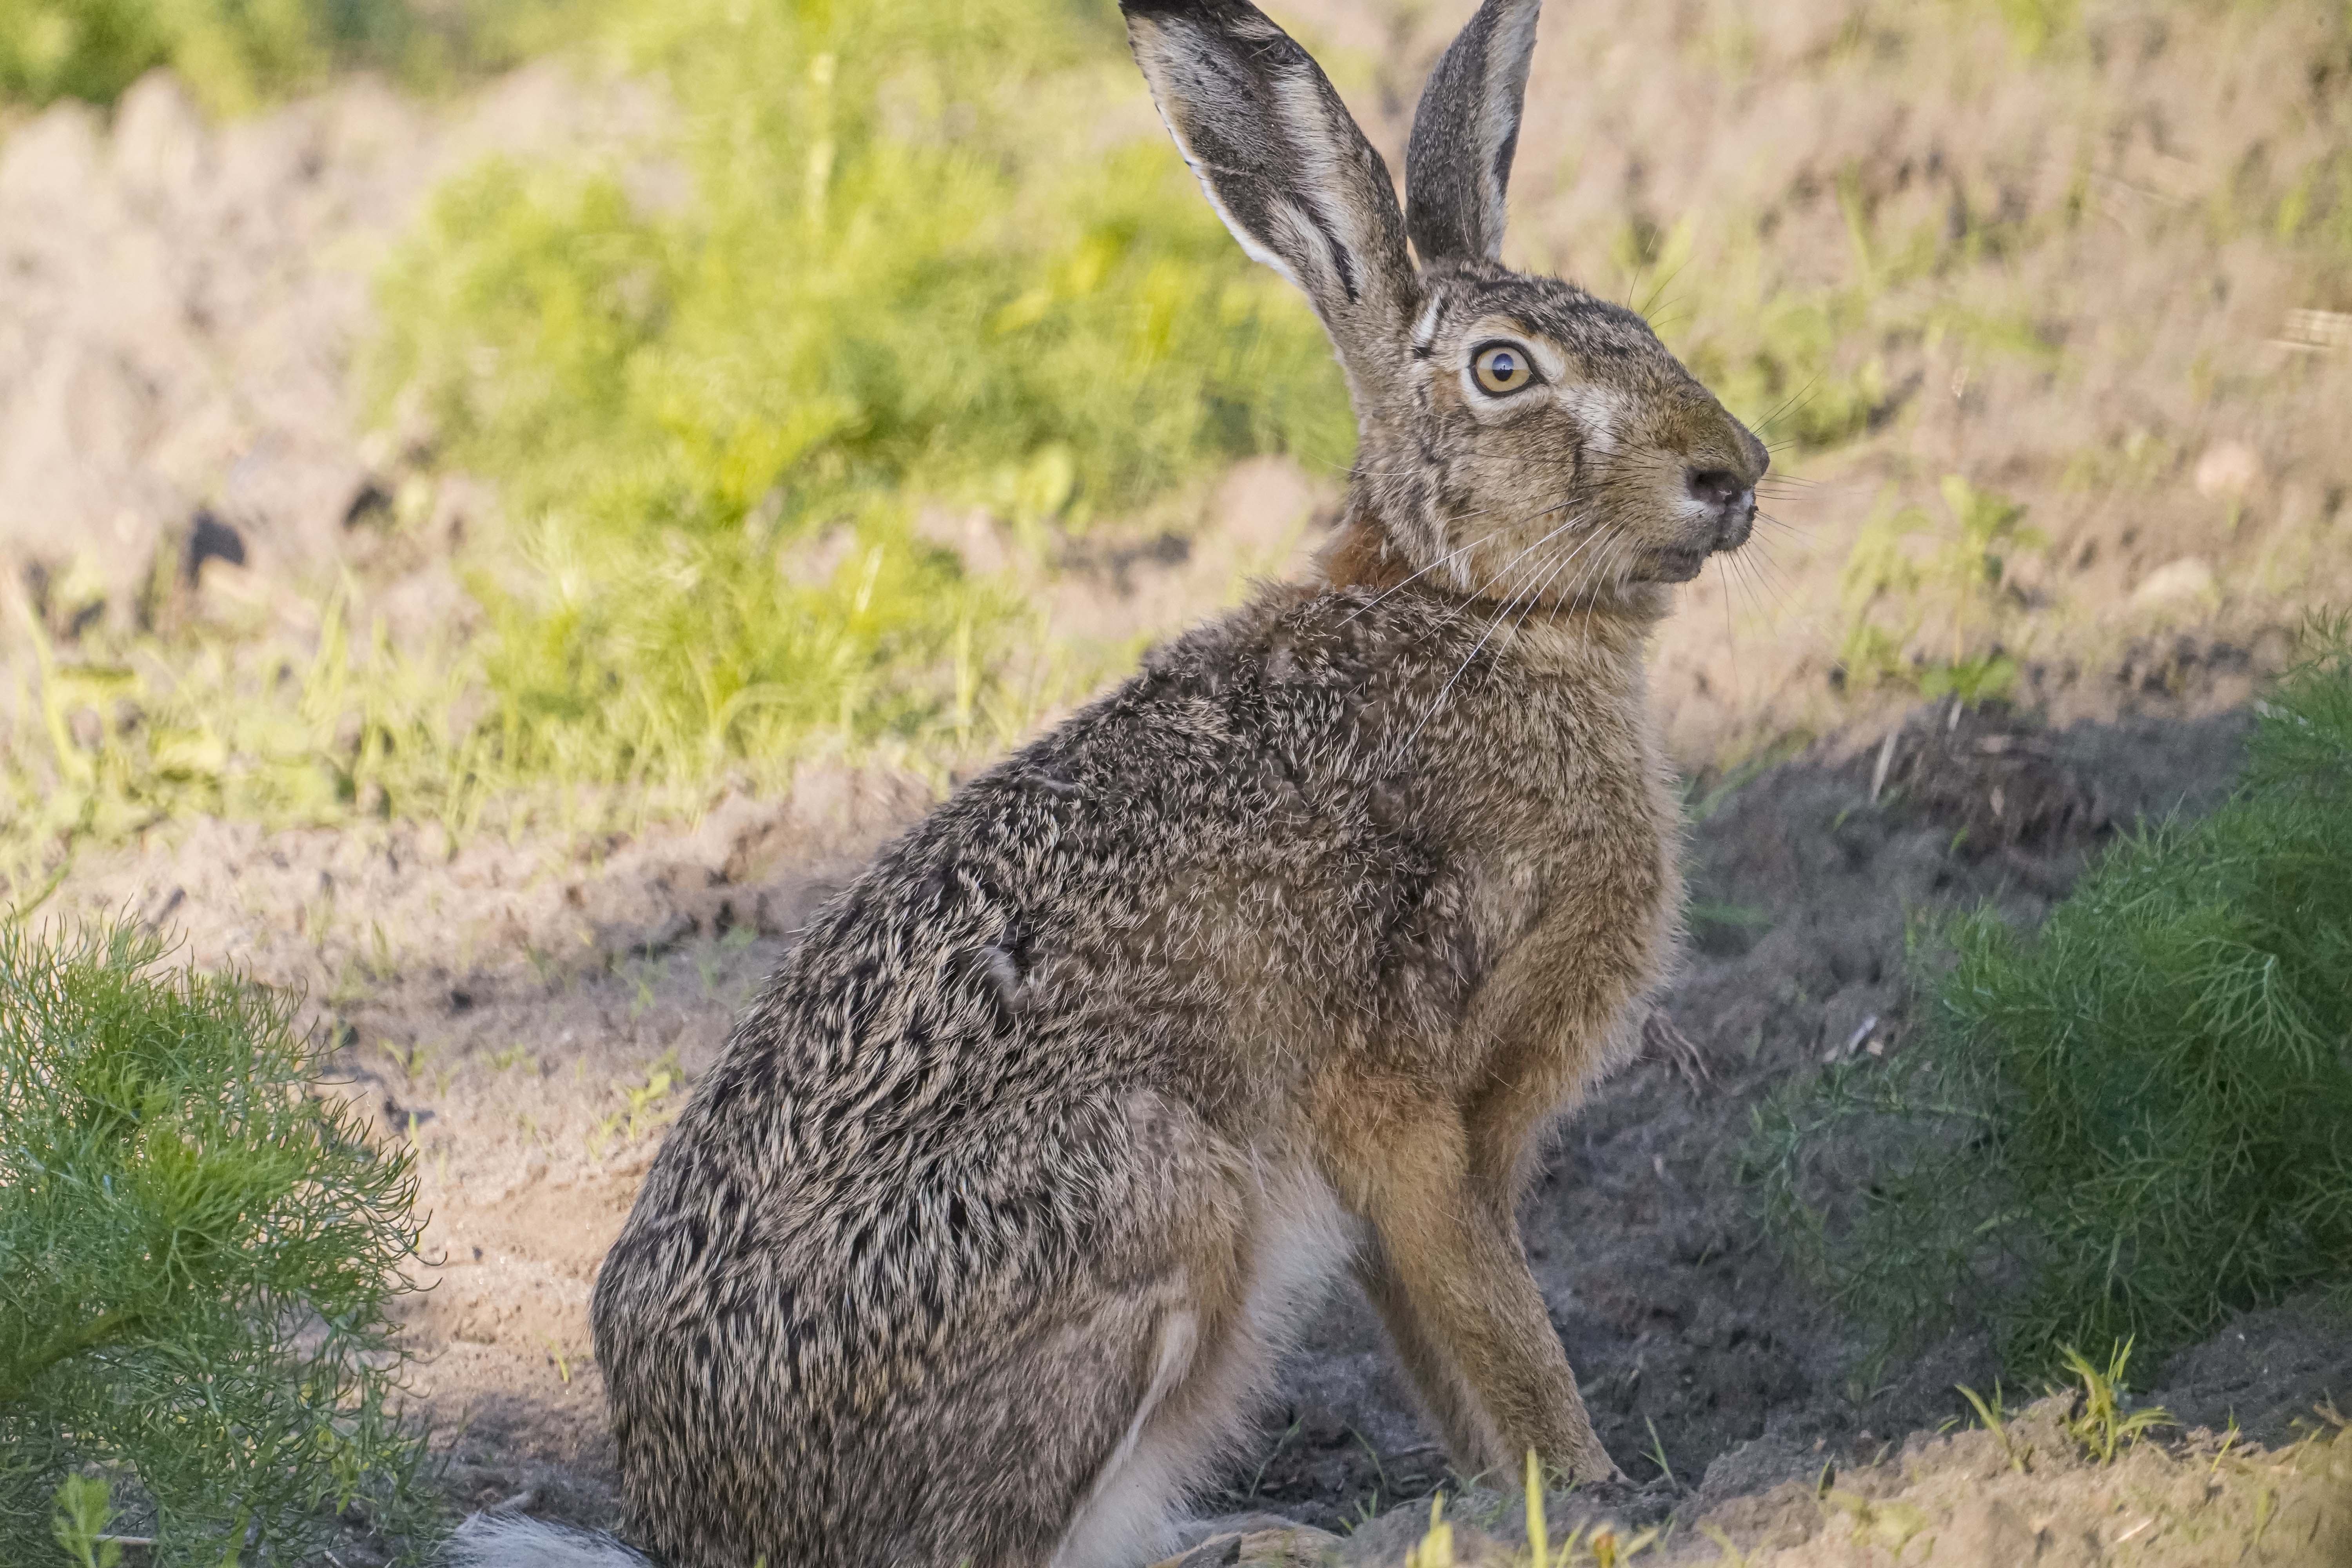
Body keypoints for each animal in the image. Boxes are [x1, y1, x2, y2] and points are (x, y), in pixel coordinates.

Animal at [448, 0, 1765, 1564]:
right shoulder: (1399, 1095)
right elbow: (1494, 1314)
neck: (1466, 608)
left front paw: (1515, 1496)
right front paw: (1600, 1492)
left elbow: (1445, 1337)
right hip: (1144, 1188)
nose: (1734, 471)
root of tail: (702, 1531)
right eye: (1504, 371)